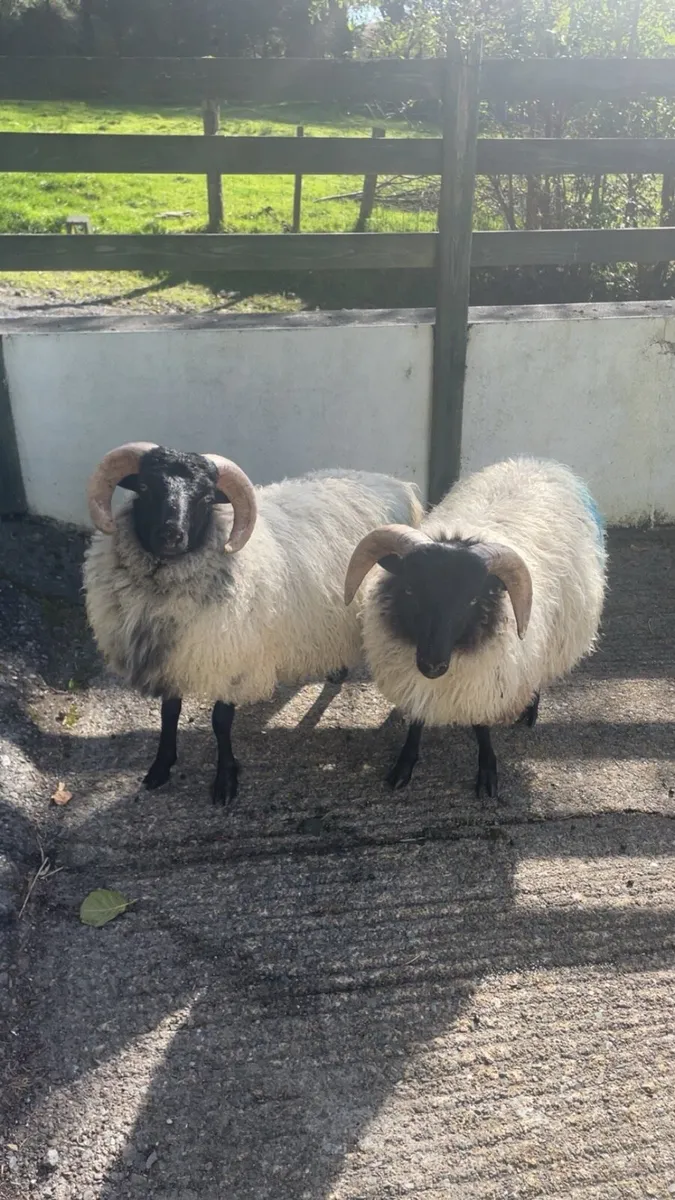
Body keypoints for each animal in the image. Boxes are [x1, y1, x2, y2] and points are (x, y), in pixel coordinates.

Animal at [83, 443, 423, 805]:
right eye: (145, 486)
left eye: (206, 497)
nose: (171, 534)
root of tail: (395, 483)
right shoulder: (173, 657)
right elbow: (169, 713)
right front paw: (160, 767)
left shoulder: (236, 659)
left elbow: (220, 722)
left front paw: (225, 780)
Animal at [344, 457, 607, 797]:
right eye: (410, 590)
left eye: (472, 600)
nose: (432, 665)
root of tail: (540, 462)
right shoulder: (418, 678)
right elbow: (417, 718)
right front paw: (404, 765)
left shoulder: (487, 675)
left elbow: (481, 726)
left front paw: (487, 773)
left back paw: (530, 710)